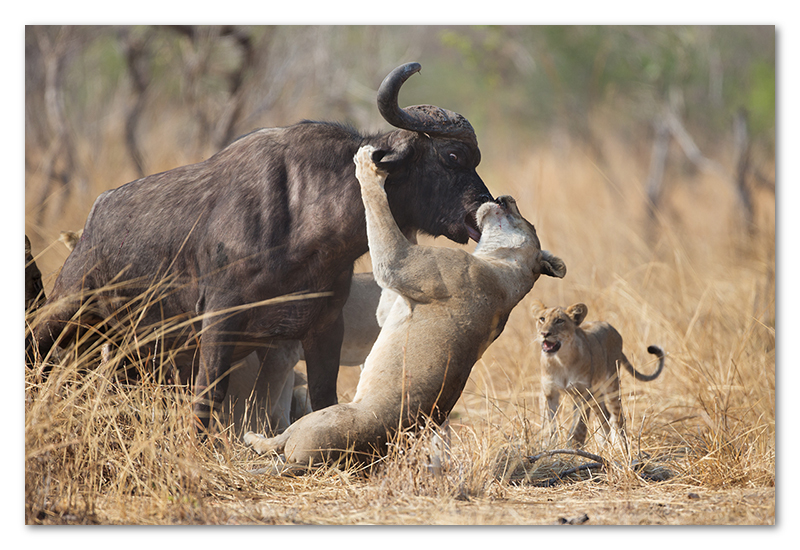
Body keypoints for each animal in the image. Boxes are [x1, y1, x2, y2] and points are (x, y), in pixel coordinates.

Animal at [31, 60, 494, 432]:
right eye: (453, 156)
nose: (483, 209)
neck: (306, 215)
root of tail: (91, 226)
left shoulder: (324, 326)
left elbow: (322, 398)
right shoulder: (221, 320)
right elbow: (208, 397)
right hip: (64, 314)